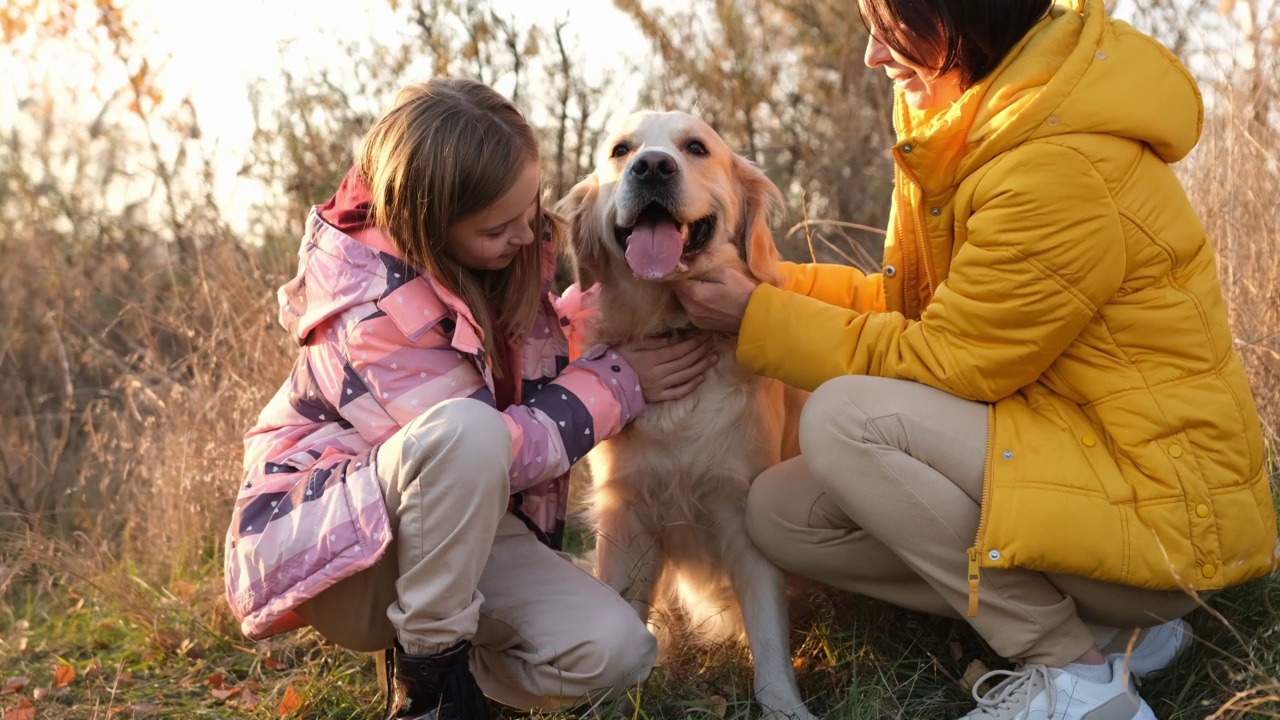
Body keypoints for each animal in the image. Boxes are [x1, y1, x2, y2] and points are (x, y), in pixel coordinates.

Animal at [555, 112, 814, 717]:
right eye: (620, 150)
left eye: (696, 148)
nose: (652, 166)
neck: (673, 322)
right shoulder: (627, 510)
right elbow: (625, 608)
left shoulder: (741, 504)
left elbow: (767, 627)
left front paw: (783, 704)